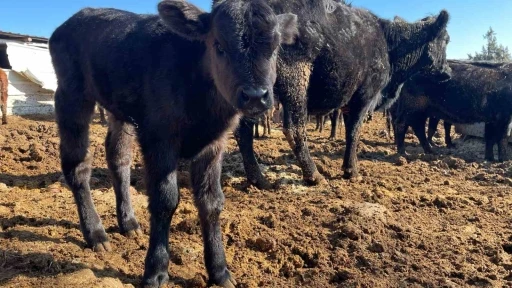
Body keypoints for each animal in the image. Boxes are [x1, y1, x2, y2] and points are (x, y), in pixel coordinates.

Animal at [50, 1, 298, 286]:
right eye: (219, 45)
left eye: (275, 48)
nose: (256, 96)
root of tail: (78, 16)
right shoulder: (159, 137)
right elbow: (165, 200)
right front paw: (156, 271)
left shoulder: (214, 144)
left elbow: (211, 201)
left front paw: (219, 270)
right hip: (71, 95)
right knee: (77, 165)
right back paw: (96, 233)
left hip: (119, 110)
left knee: (118, 156)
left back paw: (128, 223)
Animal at [235, 0, 448, 188]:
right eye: (445, 40)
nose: (447, 72)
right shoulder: (364, 96)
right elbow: (354, 131)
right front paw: (352, 171)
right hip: (295, 78)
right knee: (294, 128)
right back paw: (314, 175)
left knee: (243, 131)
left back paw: (258, 179)